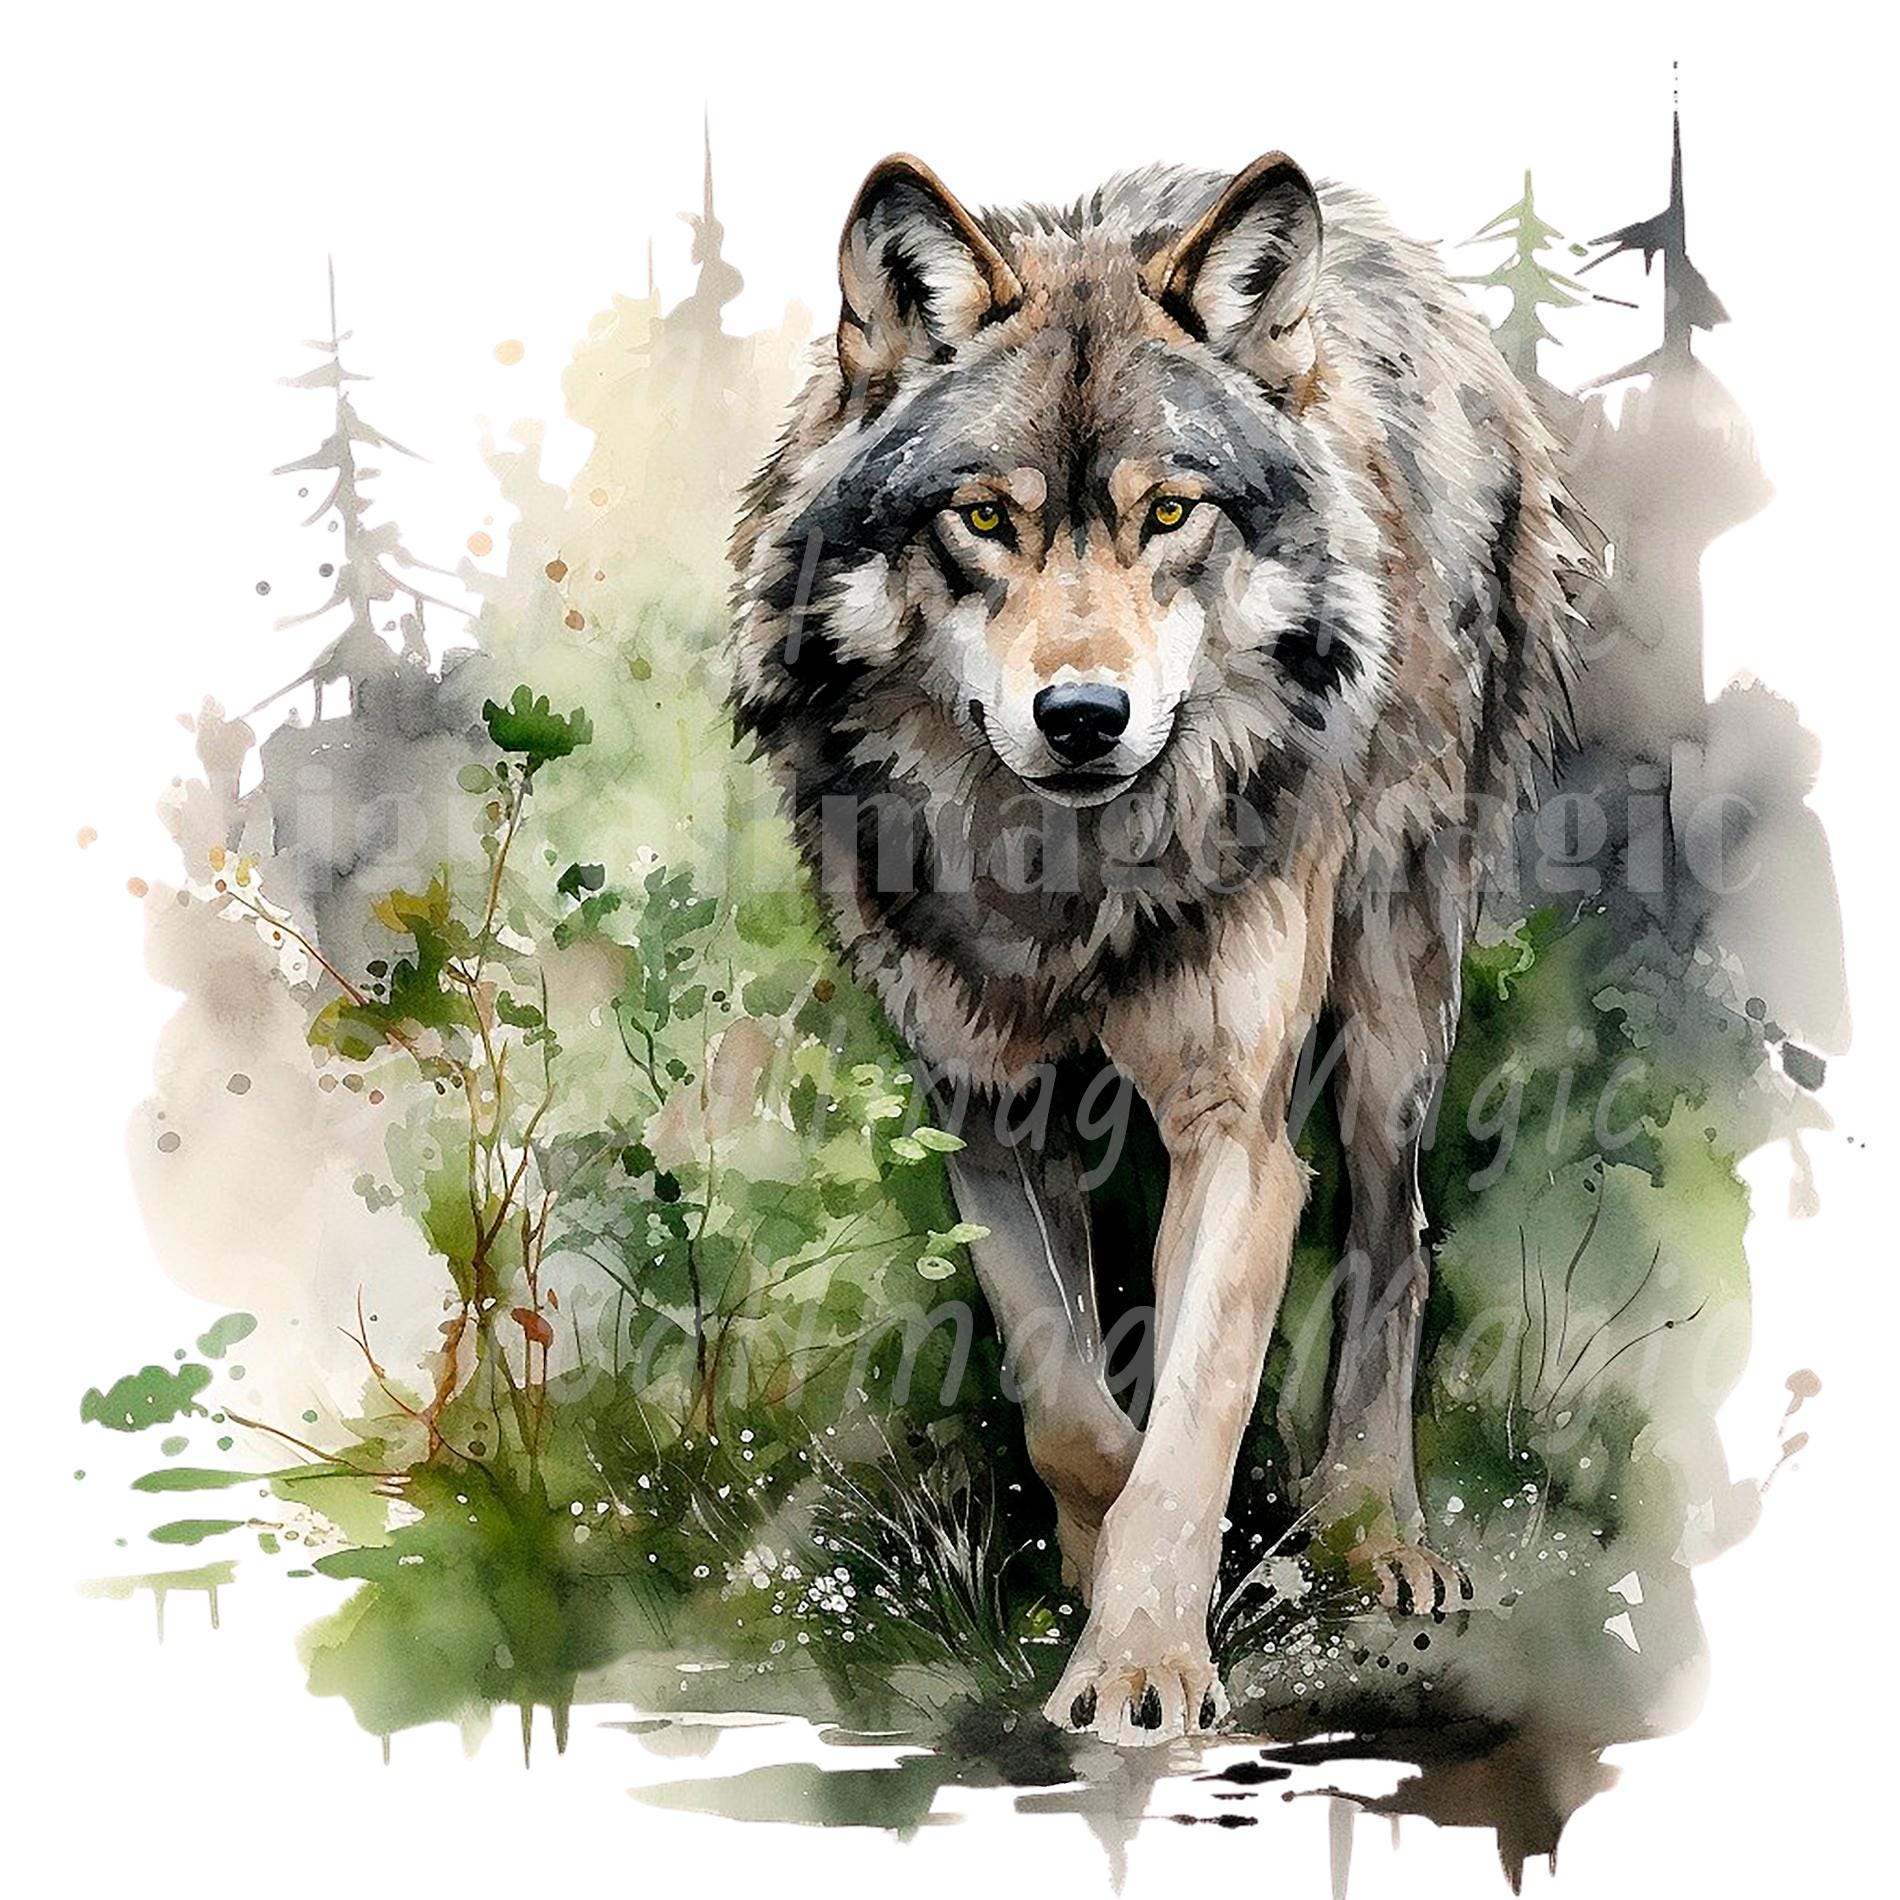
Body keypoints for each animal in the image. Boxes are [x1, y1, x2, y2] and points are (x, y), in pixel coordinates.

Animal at [729, 151, 1578, 1745]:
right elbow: (1071, 1399)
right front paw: (1111, 1558)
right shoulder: (984, 1113)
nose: (1083, 718)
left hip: (1395, 1002)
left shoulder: (1235, 1130)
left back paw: (1374, 1528)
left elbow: (1195, 1409)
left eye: (1170, 512)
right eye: (983, 521)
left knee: (1396, 1242)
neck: (1065, 893)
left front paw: (1138, 1662)